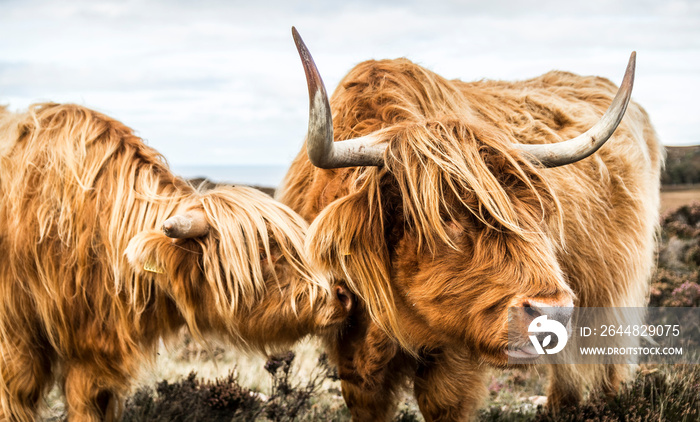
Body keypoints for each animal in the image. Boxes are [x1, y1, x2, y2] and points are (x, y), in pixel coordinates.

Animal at [278, 28, 660, 420]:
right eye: (445, 217)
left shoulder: (454, 356)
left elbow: (443, 404)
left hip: (612, 288)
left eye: (534, 212)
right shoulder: (351, 356)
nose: (553, 309)